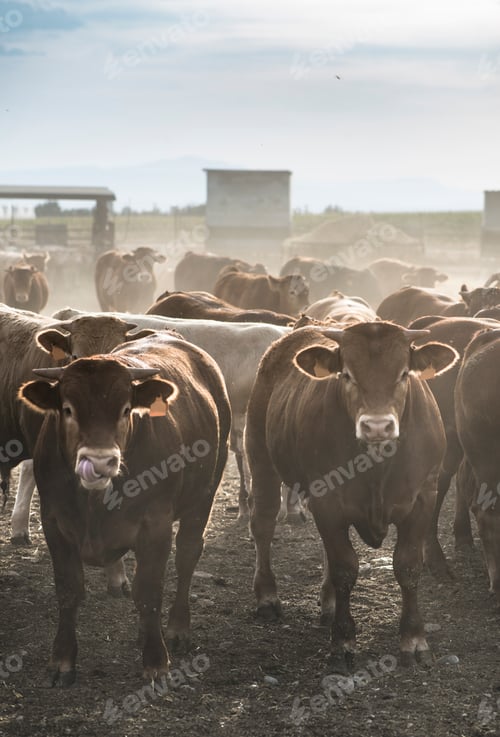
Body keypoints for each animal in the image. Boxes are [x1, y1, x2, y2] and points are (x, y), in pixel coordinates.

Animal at [19, 332, 231, 685]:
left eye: (126, 409)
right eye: (67, 409)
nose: (100, 462)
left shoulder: (155, 525)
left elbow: (149, 591)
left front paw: (156, 660)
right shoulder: (53, 522)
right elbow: (68, 590)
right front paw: (62, 660)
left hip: (204, 494)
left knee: (187, 555)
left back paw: (176, 629)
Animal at [244, 322, 458, 668]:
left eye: (403, 374)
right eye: (346, 374)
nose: (377, 426)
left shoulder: (423, 498)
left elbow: (408, 566)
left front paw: (414, 639)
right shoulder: (328, 500)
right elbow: (345, 568)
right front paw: (343, 640)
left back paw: (328, 602)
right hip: (260, 453)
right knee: (263, 524)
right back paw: (267, 596)